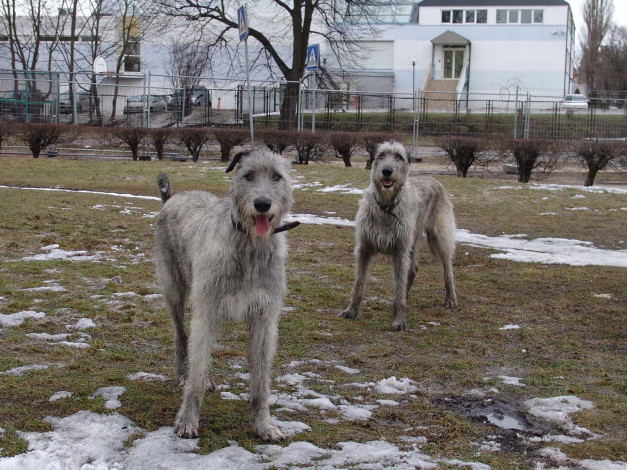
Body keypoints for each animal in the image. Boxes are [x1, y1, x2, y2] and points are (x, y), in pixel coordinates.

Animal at [153, 150, 298, 440]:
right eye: (249, 175)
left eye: (277, 176)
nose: (262, 204)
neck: (250, 247)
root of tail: (172, 198)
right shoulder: (206, 311)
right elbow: (197, 372)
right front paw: (187, 419)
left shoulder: (264, 318)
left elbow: (260, 380)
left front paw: (262, 424)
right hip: (174, 290)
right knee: (181, 335)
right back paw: (182, 373)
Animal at [340, 140, 458, 330]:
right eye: (381, 155)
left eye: (398, 157)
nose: (387, 171)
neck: (387, 207)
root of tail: (433, 179)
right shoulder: (364, 248)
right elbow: (359, 283)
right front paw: (351, 311)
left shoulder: (400, 251)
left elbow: (399, 285)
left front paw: (399, 320)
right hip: (413, 238)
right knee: (413, 270)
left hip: (439, 235)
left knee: (447, 268)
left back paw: (450, 298)